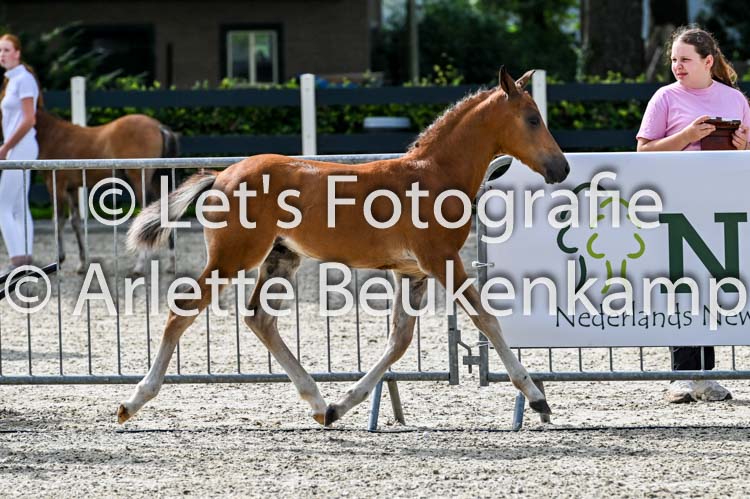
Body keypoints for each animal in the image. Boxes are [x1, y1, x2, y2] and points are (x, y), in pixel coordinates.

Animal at [35, 108, 179, 275]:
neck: (53, 134)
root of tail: (158, 126)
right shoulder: (72, 188)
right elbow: (75, 221)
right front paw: (81, 263)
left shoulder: (56, 185)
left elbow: (58, 220)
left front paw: (60, 259)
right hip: (157, 179)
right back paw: (171, 263)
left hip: (140, 181)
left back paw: (139, 265)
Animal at [117, 67, 570, 426]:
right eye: (532, 119)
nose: (561, 167)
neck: (434, 174)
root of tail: (221, 175)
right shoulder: (441, 260)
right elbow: (486, 320)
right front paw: (537, 398)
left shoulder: (412, 272)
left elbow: (399, 341)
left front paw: (343, 404)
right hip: (232, 257)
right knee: (183, 311)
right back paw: (133, 401)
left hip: (281, 257)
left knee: (259, 318)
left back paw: (319, 404)